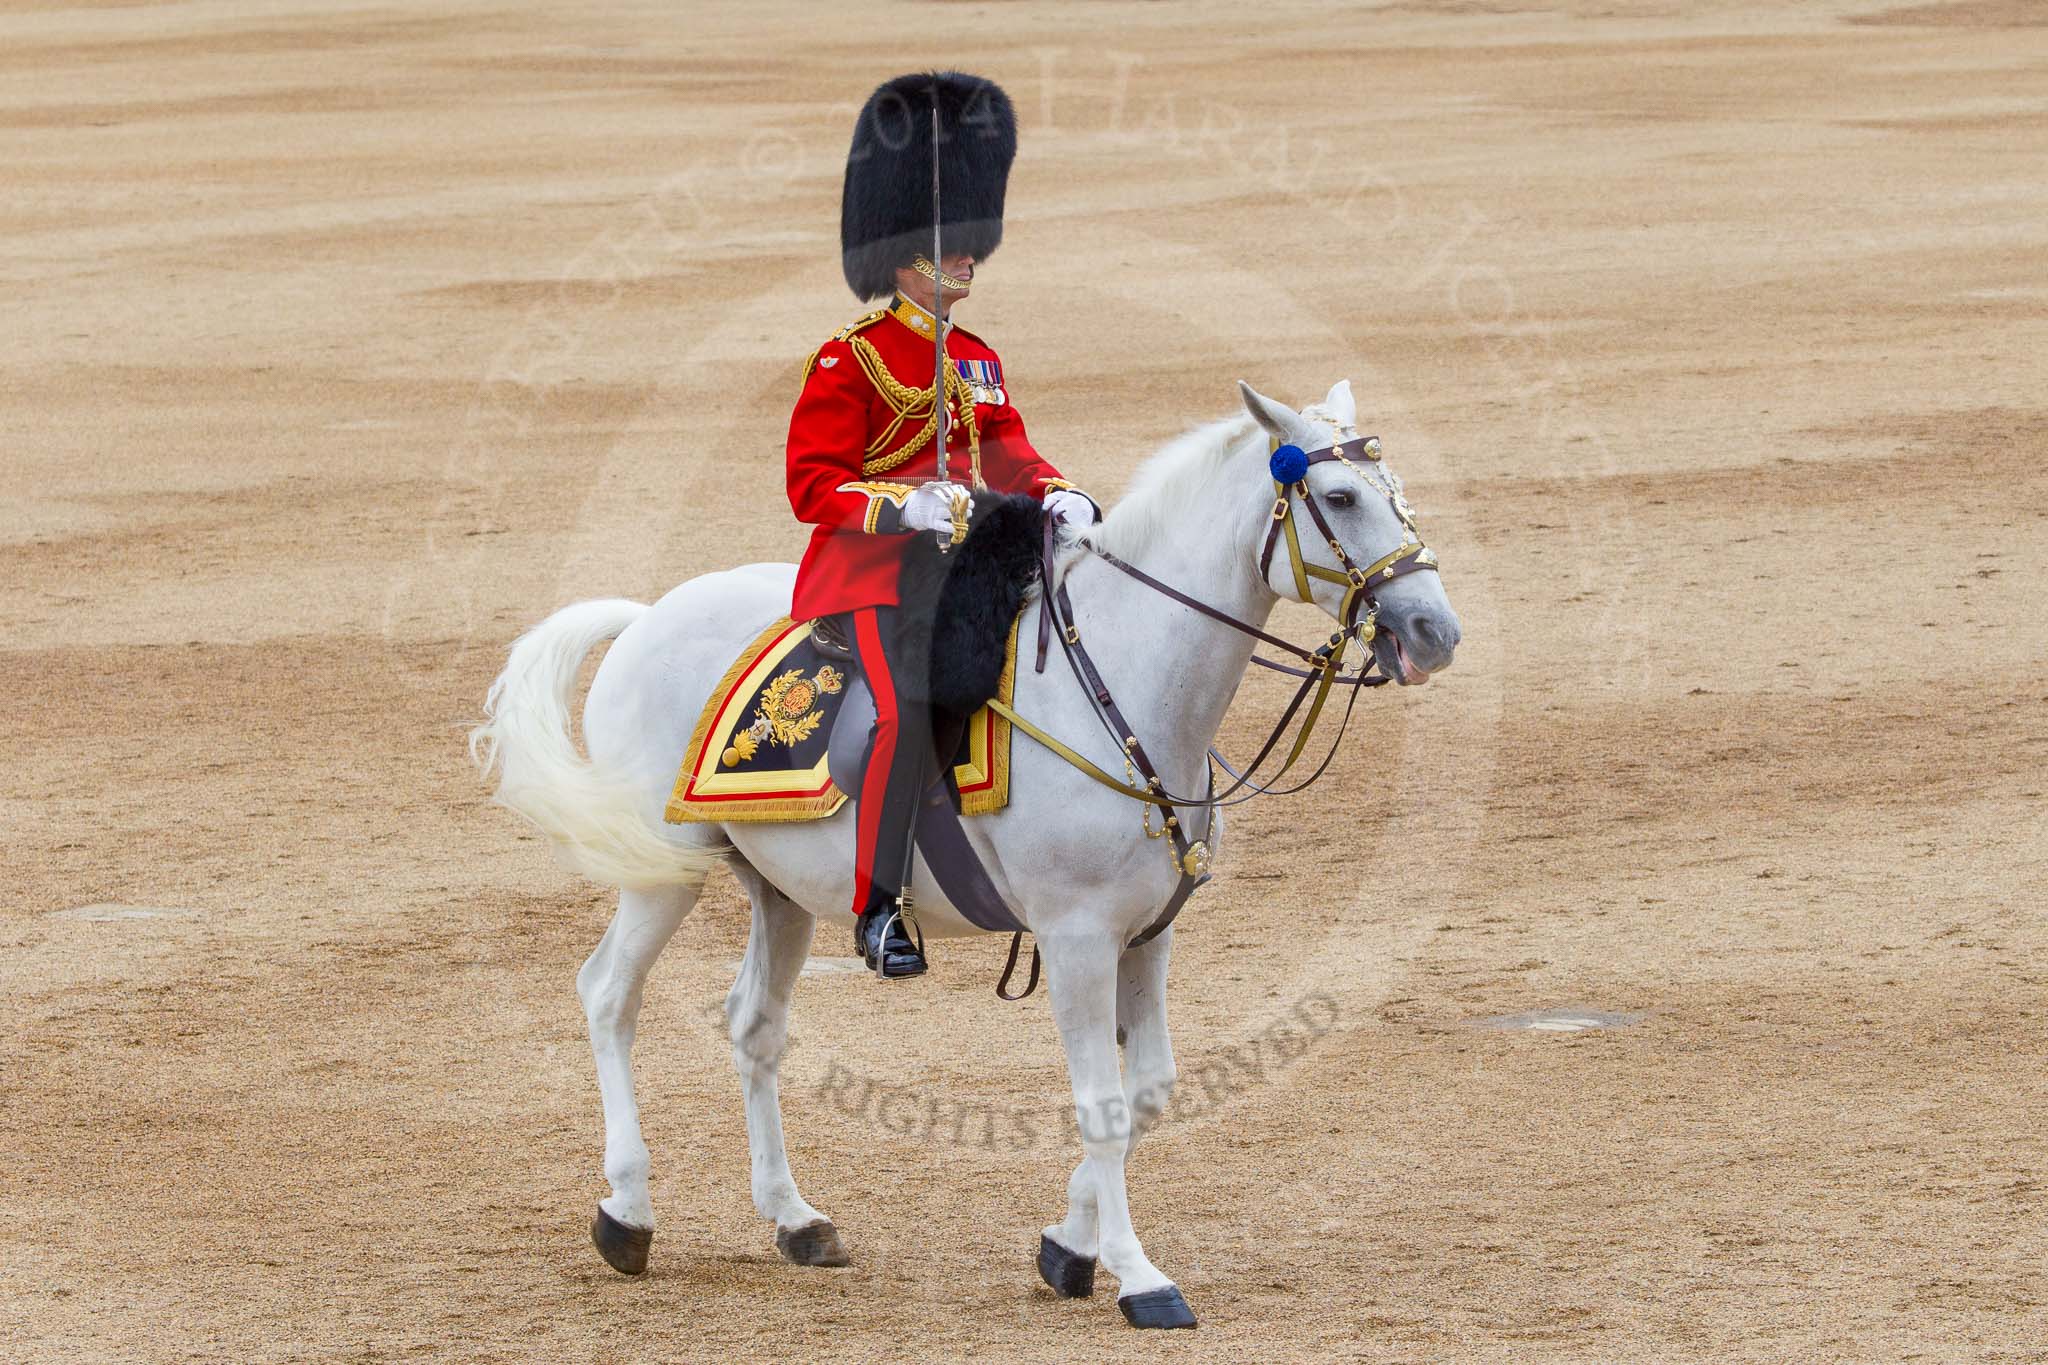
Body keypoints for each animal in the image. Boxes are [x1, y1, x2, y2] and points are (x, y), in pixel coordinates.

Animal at [469, 378, 1462, 1329]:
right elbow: (1103, 1106)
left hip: (780, 890)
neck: (1125, 679)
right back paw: (627, 1212)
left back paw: (795, 1217)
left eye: (1396, 489)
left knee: (754, 1025)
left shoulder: (1147, 936)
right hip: (660, 871)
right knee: (608, 994)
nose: (1436, 633)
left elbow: (1149, 1090)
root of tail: (647, 617)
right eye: (1339, 495)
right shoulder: (1076, 937)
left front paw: (1069, 1246)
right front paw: (1139, 1276)